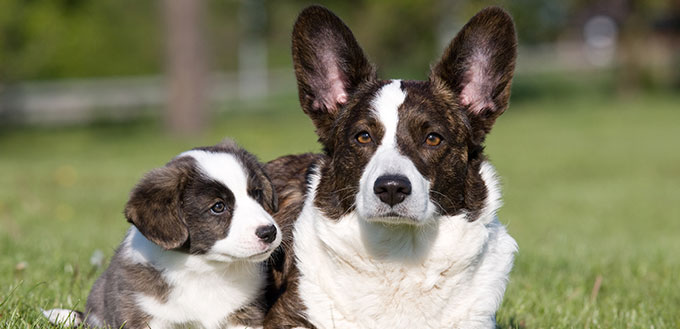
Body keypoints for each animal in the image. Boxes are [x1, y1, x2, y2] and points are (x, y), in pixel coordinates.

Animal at [43, 140, 282, 328]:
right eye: (218, 207)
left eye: (257, 194)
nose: (269, 232)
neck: (207, 270)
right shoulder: (146, 315)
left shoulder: (244, 314)